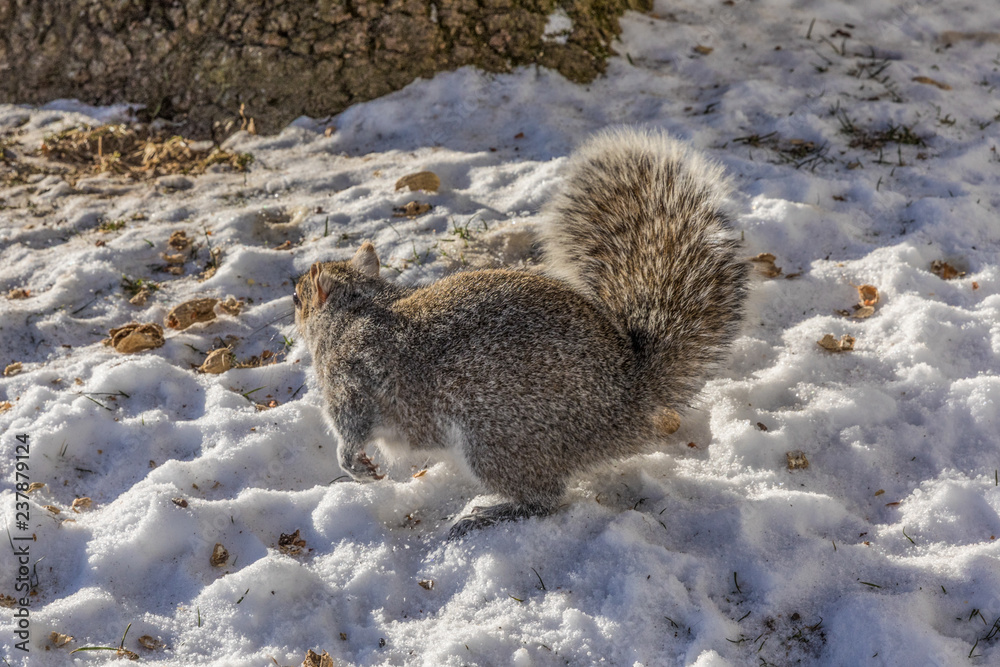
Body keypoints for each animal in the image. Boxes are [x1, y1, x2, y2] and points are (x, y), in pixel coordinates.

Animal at [294, 128, 749, 538]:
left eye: (298, 297)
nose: (291, 299)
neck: (359, 308)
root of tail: (629, 402)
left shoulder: (350, 380)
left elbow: (351, 427)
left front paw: (353, 464)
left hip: (497, 438)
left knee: (545, 499)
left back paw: (487, 514)